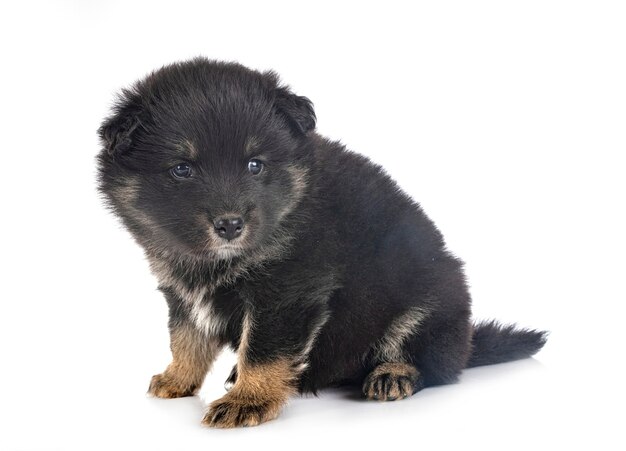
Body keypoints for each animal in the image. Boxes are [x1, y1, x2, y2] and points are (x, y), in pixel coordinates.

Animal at [95, 58, 544, 430]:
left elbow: (263, 350)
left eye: (254, 165)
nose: (230, 225)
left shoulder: (286, 294)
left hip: (427, 297)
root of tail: (467, 341)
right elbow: (186, 338)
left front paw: (248, 400)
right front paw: (178, 378)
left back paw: (393, 373)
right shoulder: (183, 290)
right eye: (181, 170)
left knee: (436, 363)